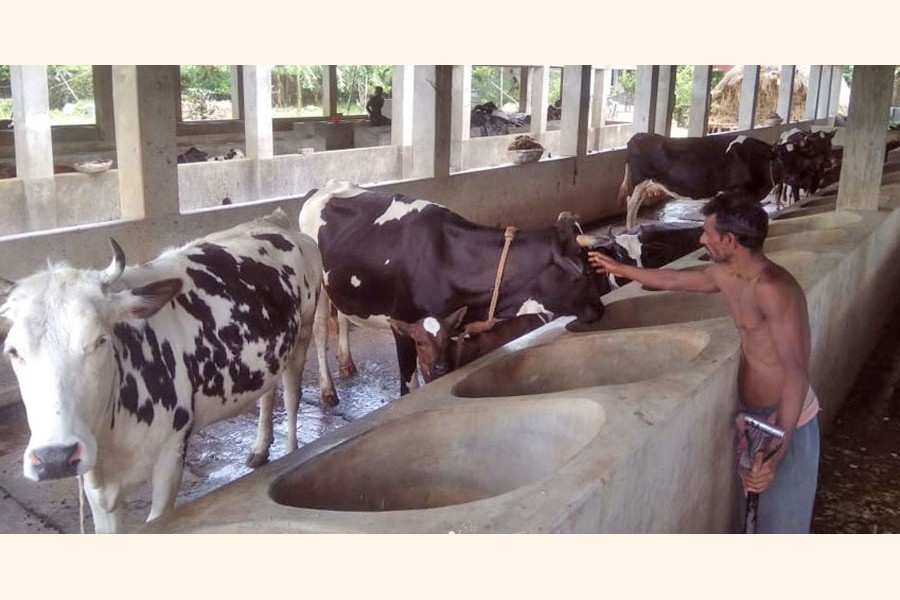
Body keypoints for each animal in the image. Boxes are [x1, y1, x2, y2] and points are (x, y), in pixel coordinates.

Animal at [0, 211, 338, 536]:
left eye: (99, 340)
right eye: (13, 351)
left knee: (292, 396)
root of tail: (273, 219)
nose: (54, 459)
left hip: (302, 335)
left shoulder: (170, 456)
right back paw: (259, 448)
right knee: (267, 395)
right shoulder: (96, 483)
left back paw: (290, 450)